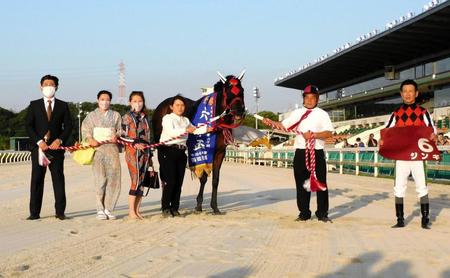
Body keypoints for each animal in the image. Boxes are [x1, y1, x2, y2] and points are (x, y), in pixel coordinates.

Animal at [154, 71, 246, 213]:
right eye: (228, 91)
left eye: (241, 90)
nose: (239, 110)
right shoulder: (204, 150)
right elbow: (203, 177)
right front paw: (198, 205)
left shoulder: (220, 152)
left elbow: (215, 180)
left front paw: (215, 207)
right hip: (161, 147)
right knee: (165, 175)